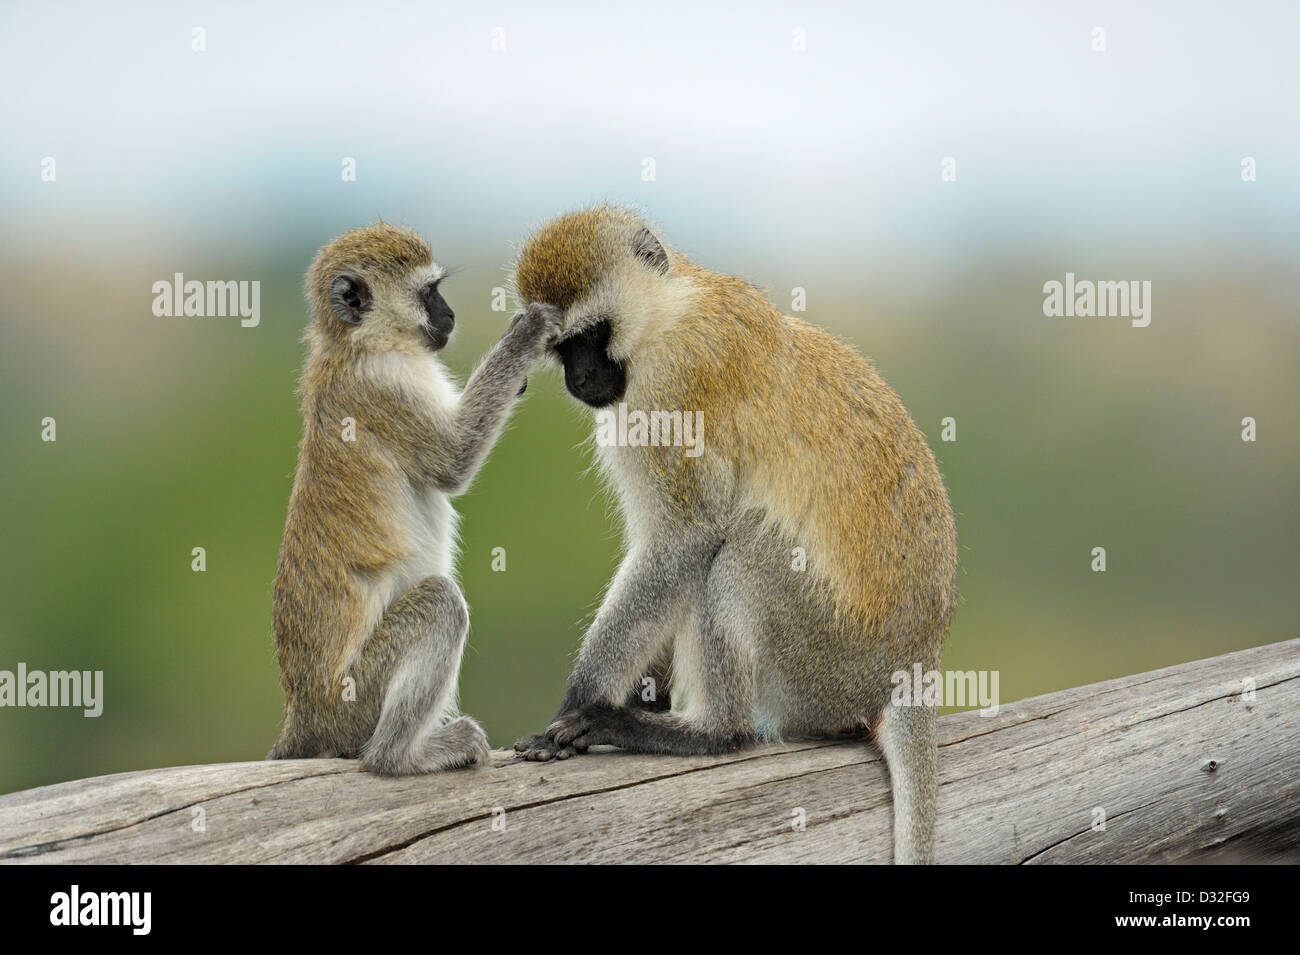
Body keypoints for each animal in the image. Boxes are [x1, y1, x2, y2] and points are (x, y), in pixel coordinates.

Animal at [269, 223, 559, 779]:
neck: (358, 344)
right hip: (355, 700)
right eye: (429, 293)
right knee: (440, 604)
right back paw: (401, 756)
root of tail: (303, 715)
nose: (450, 316)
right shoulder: (386, 387)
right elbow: (453, 460)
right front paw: (526, 334)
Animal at [512, 205, 961, 862]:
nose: (580, 377)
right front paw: (635, 691)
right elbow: (669, 559)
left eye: (592, 335)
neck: (669, 313)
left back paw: (710, 732)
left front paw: (579, 704)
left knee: (739, 552)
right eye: (562, 347)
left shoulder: (670, 392)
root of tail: (914, 664)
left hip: (825, 658)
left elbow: (683, 542)